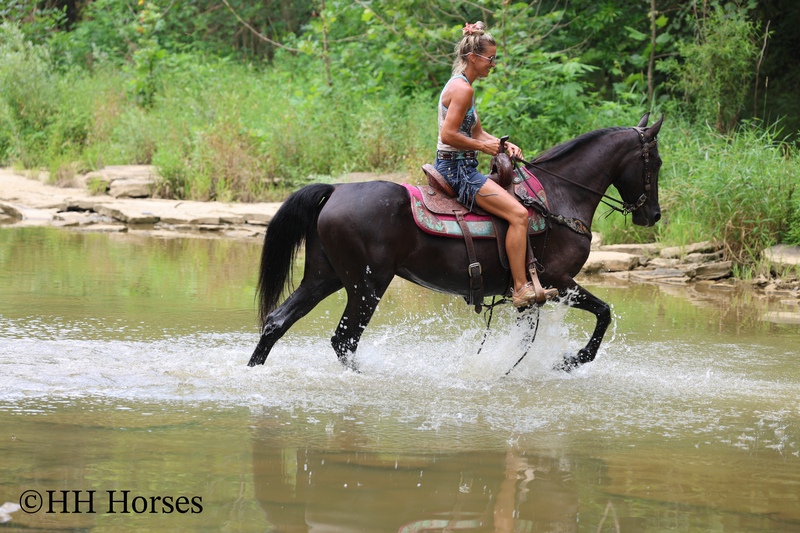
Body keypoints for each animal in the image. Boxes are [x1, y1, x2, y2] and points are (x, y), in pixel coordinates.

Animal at [248, 112, 664, 371]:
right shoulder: (558, 281)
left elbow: (524, 340)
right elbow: (604, 313)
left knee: (277, 321)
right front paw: (571, 360)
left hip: (325, 277)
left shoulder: (532, 295)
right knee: (344, 340)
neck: (559, 196)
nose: (653, 215)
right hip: (367, 286)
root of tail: (336, 190)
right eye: (656, 163)